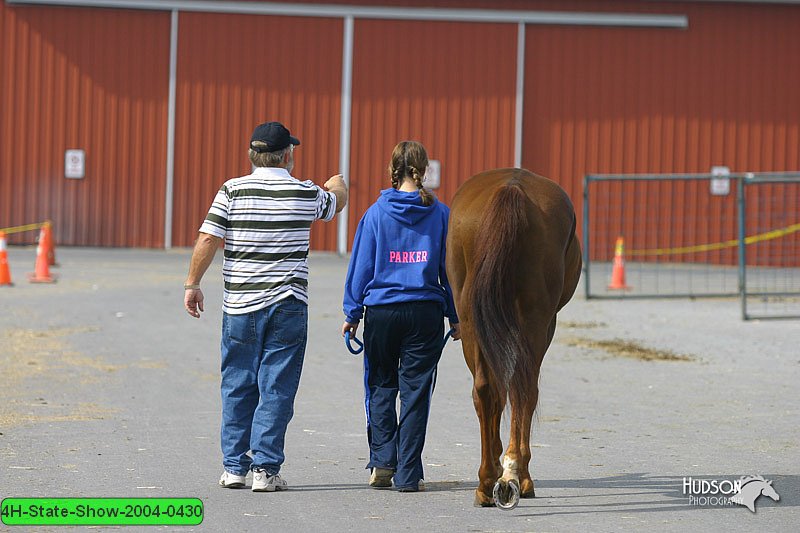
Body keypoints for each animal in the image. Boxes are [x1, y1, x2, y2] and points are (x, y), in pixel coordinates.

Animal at [444, 168, 580, 504]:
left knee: (485, 389)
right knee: (524, 390)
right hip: (536, 320)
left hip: (472, 319)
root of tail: (512, 189)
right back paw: (517, 475)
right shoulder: (545, 324)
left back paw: (487, 481)